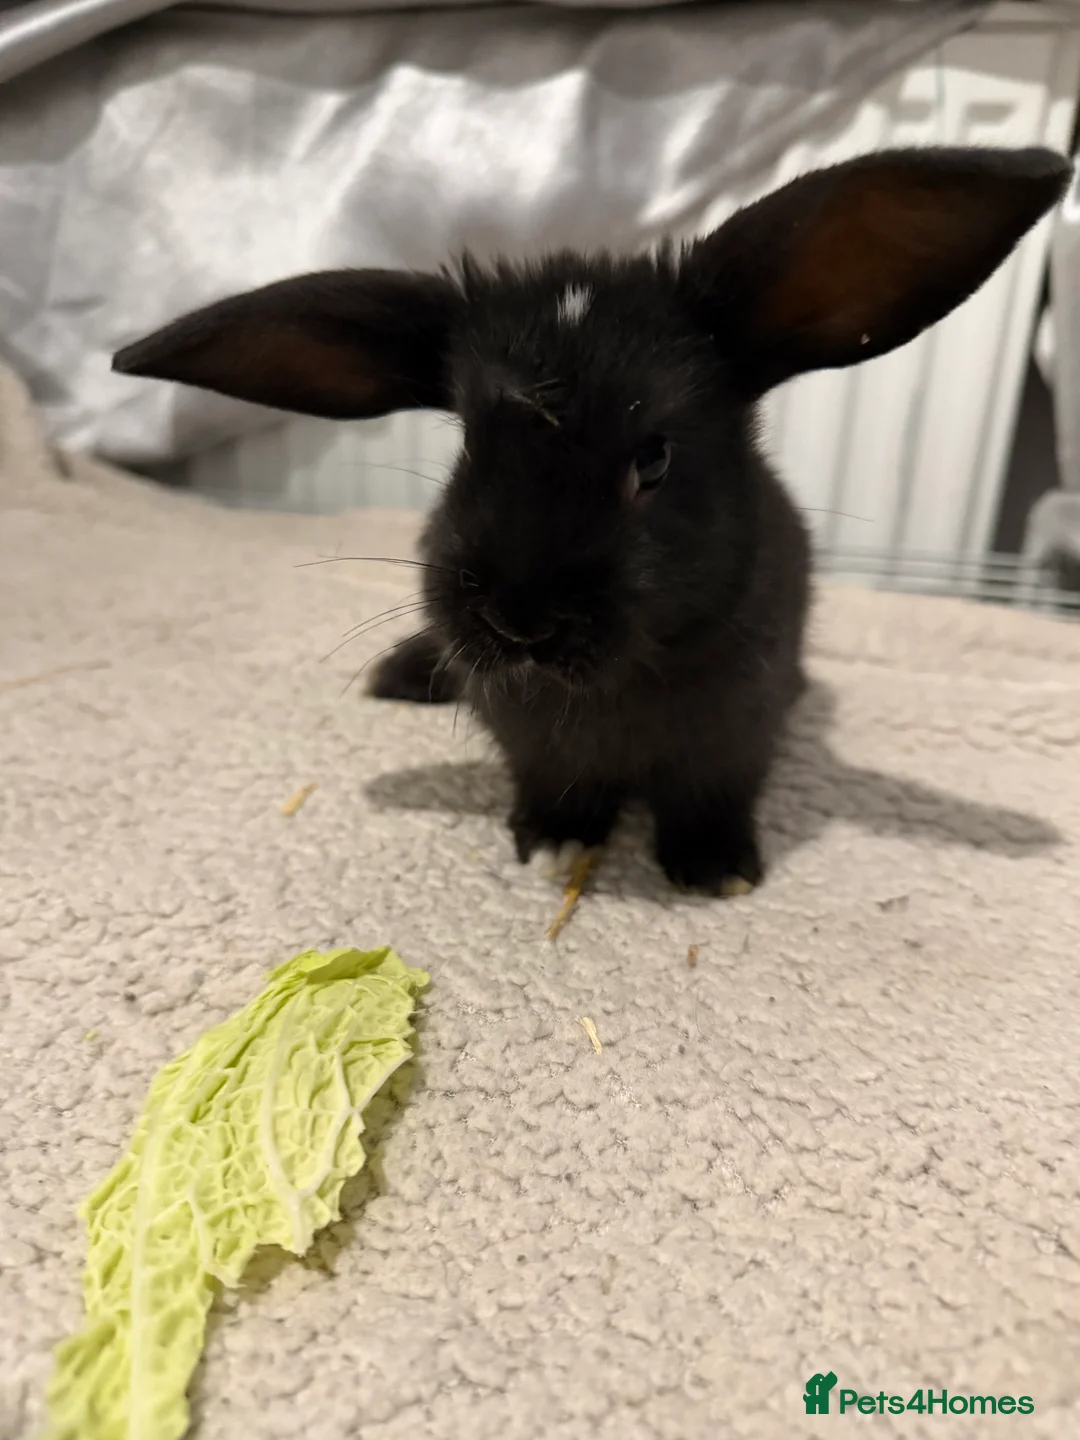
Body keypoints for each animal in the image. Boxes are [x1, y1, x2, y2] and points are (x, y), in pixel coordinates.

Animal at [113, 146, 1071, 892]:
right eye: (470, 443)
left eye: (654, 458)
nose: (518, 618)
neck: (608, 688)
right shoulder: (532, 746)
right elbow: (557, 789)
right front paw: (553, 842)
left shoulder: (732, 741)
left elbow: (709, 797)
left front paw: (714, 872)